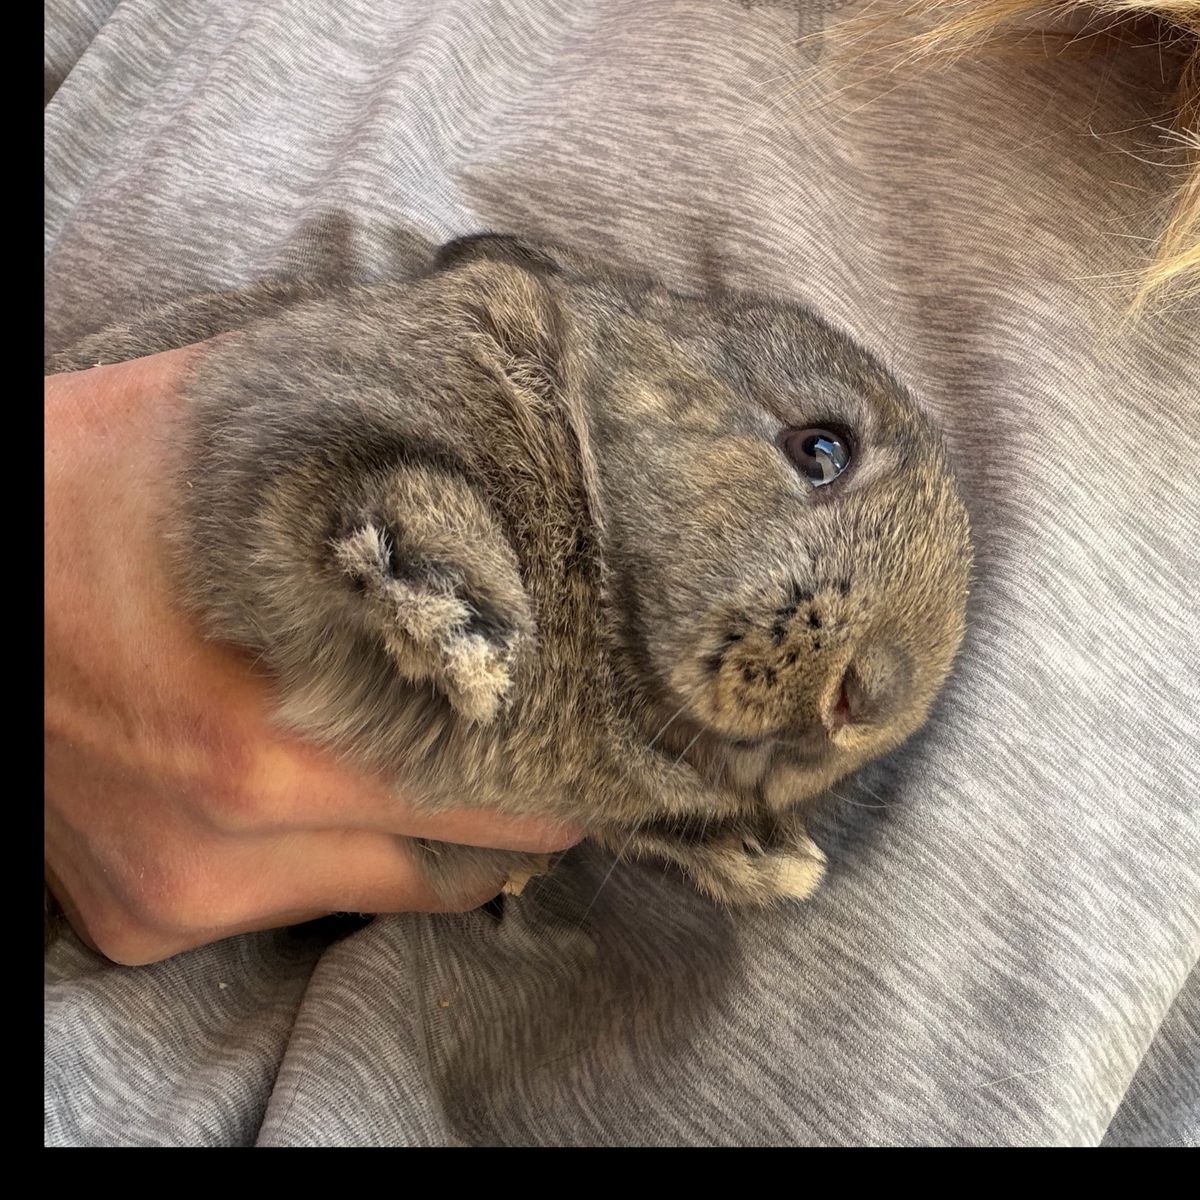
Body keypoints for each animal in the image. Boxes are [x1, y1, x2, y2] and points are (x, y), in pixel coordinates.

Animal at [46, 233, 973, 909]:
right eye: (820, 450)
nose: (872, 697)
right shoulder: (297, 418)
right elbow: (359, 487)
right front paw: (451, 609)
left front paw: (766, 857)